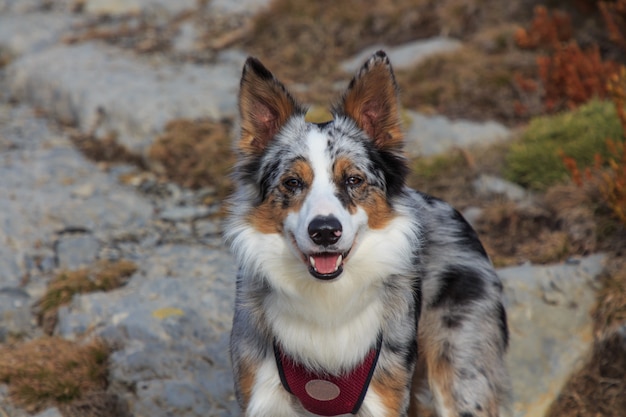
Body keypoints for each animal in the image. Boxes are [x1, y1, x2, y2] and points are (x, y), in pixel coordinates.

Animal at [224, 49, 508, 416]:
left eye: (353, 179)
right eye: (292, 182)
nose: (325, 231)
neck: (327, 304)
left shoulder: (382, 398)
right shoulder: (262, 392)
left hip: (461, 373)